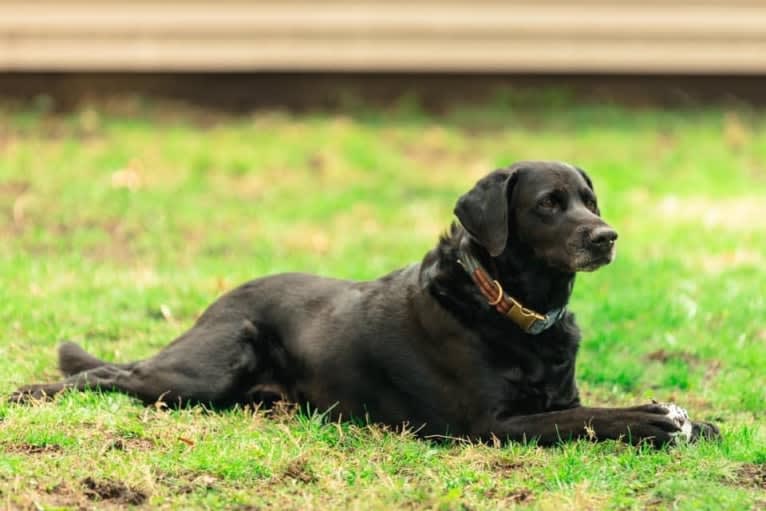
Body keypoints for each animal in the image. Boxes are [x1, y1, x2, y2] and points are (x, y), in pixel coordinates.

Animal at [10, 162, 720, 446]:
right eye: (549, 204)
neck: (507, 308)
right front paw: (654, 420)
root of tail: (218, 302)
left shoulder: (553, 396)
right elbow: (592, 417)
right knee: (112, 373)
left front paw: (696, 421)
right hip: (205, 371)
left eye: (589, 201)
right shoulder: (491, 424)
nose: (607, 236)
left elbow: (588, 406)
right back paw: (31, 392)